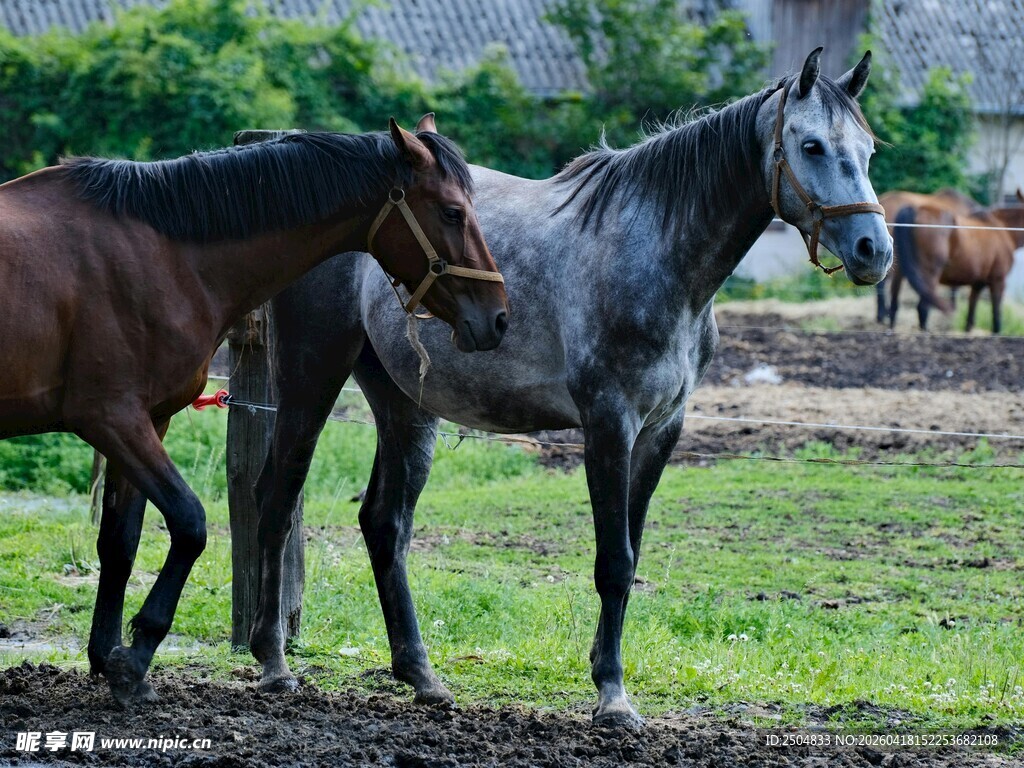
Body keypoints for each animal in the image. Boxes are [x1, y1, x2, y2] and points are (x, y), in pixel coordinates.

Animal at [0, 113, 508, 707]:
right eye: (452, 211)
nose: (498, 317)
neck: (160, 254)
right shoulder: (111, 418)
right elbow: (191, 524)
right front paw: (137, 653)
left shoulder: (148, 420)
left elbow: (120, 543)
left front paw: (110, 660)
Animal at [250, 48, 892, 728]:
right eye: (812, 145)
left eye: (868, 149)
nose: (873, 251)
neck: (658, 254)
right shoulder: (609, 423)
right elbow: (614, 562)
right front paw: (612, 696)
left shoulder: (662, 429)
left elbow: (631, 555)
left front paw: (604, 673)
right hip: (312, 376)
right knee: (277, 497)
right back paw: (273, 661)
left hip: (406, 405)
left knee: (384, 524)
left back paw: (421, 674)